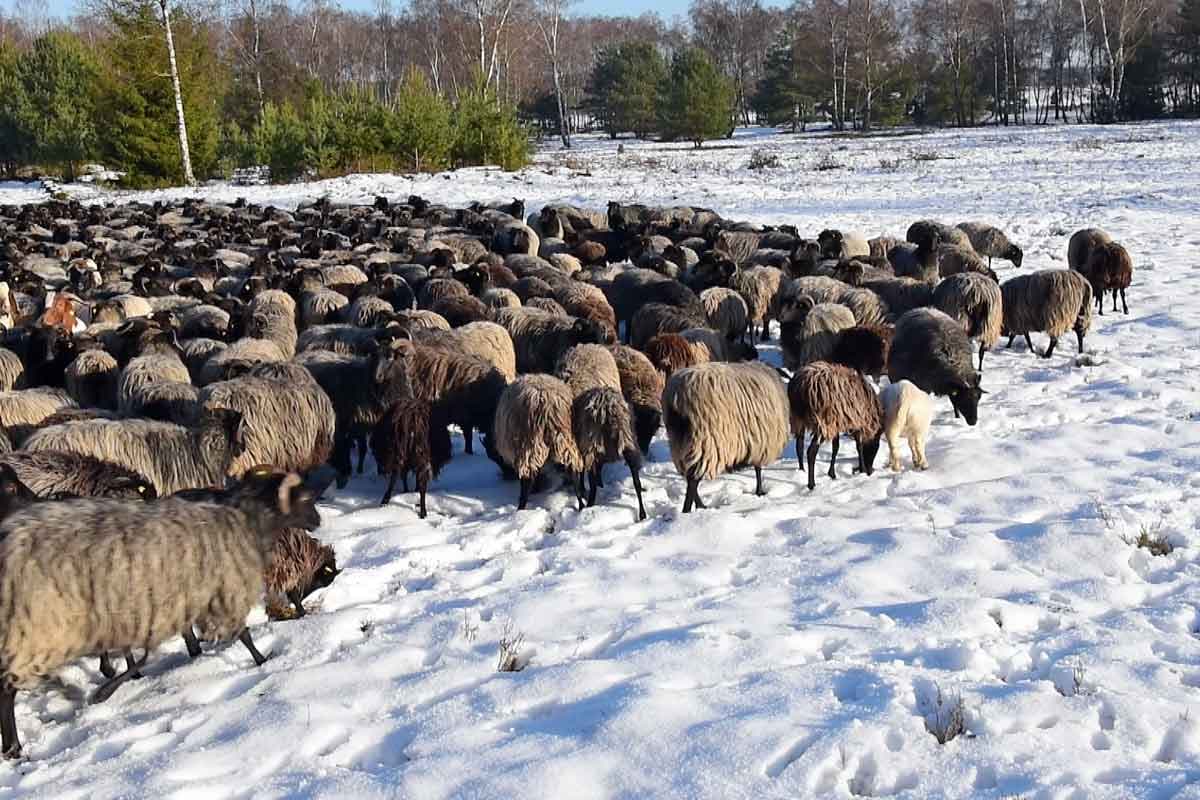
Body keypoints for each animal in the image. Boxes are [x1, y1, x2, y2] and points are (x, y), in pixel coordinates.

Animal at [0, 470, 321, 758]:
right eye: (305, 498)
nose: (318, 520)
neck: (244, 522)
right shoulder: (222, 591)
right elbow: (243, 634)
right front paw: (263, 660)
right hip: (38, 627)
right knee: (7, 689)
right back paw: (15, 747)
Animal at [492, 371, 585, 510]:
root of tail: (547, 404)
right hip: (566, 441)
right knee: (573, 472)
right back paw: (581, 505)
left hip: (528, 445)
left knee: (527, 479)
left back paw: (521, 507)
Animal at [662, 362, 792, 513]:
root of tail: (676, 397)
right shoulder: (762, 442)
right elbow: (758, 469)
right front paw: (759, 492)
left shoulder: (758, 442)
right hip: (705, 441)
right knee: (693, 480)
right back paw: (688, 510)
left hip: (679, 444)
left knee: (689, 478)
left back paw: (701, 506)